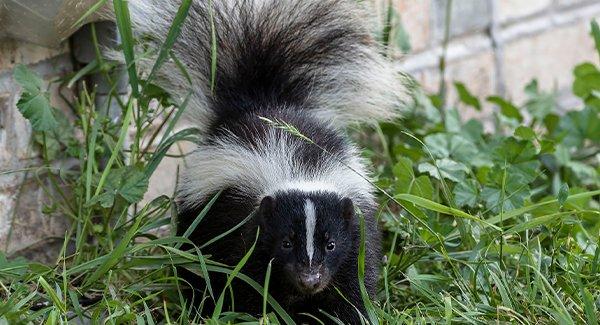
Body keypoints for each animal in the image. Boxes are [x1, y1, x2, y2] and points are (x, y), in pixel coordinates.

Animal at [127, 0, 408, 320]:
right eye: (285, 242)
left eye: (331, 244)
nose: (310, 279)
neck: (299, 171)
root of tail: (261, 103)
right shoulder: (244, 229)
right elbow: (245, 281)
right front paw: (251, 314)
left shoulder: (356, 232)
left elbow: (352, 286)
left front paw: (346, 315)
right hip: (200, 215)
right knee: (194, 260)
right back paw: (198, 304)